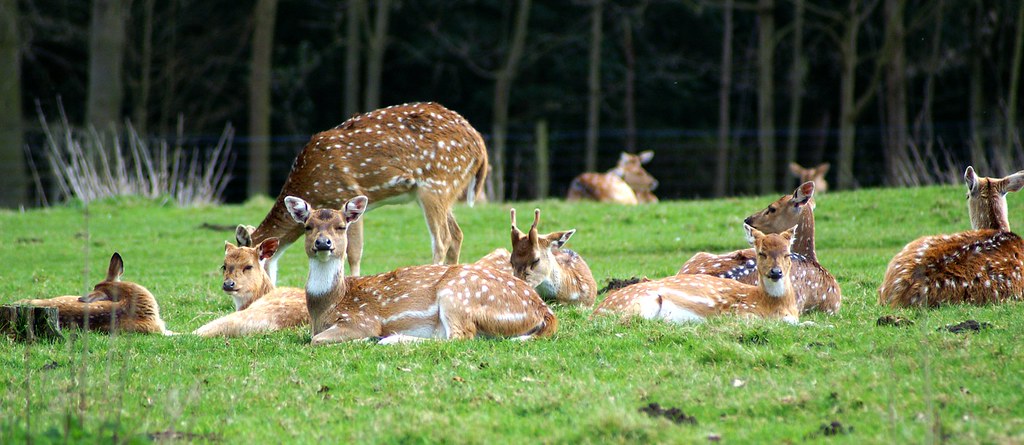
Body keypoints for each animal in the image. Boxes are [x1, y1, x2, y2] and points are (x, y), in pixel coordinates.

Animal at [247, 102, 489, 285]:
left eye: (248, 265)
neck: (310, 183)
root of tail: (479, 144)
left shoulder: (347, 193)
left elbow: (353, 252)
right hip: (443, 190)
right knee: (457, 235)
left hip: (437, 182)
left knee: (443, 239)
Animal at [285, 195, 557, 345]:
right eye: (308, 226)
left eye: (341, 226)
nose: (323, 243)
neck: (326, 307)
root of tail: (543, 311)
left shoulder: (362, 319)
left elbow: (315, 340)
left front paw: (368, 338)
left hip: (457, 295)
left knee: (459, 336)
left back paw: (388, 340)